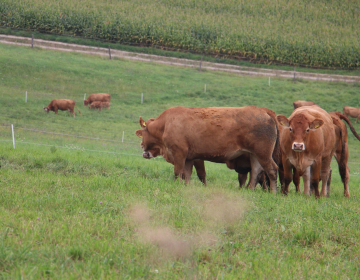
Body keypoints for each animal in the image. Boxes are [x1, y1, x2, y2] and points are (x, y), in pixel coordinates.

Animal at [136, 106, 280, 192]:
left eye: (143, 132)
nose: (142, 145)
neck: (166, 123)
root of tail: (263, 110)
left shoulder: (179, 153)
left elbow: (178, 172)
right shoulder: (189, 158)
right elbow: (187, 173)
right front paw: (187, 186)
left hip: (263, 154)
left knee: (272, 170)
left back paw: (273, 192)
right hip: (255, 155)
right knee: (256, 172)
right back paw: (250, 190)